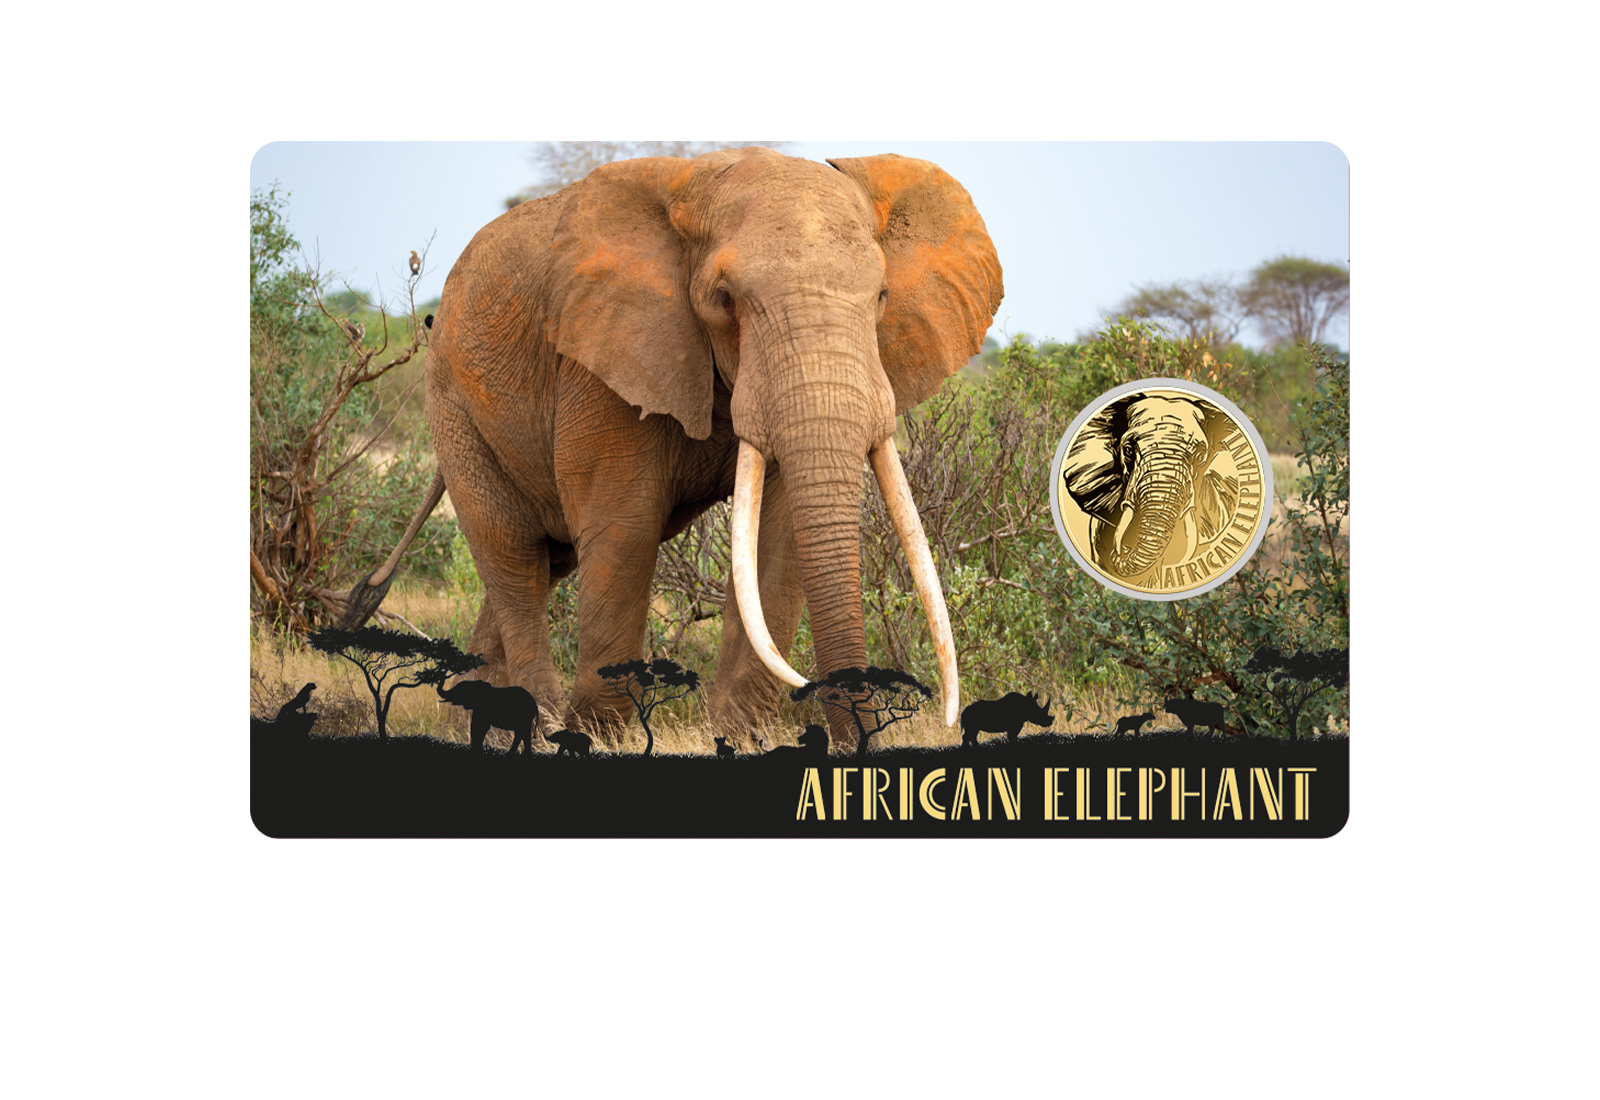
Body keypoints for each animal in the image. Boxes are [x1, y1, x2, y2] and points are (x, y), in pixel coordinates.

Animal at [347, 148, 1003, 748]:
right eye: (725, 298)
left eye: (883, 296)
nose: (858, 743)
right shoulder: (604, 357)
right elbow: (624, 527)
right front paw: (601, 737)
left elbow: (779, 539)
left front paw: (737, 739)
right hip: (454, 406)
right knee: (512, 555)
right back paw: (543, 726)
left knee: (544, 561)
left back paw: (465, 721)